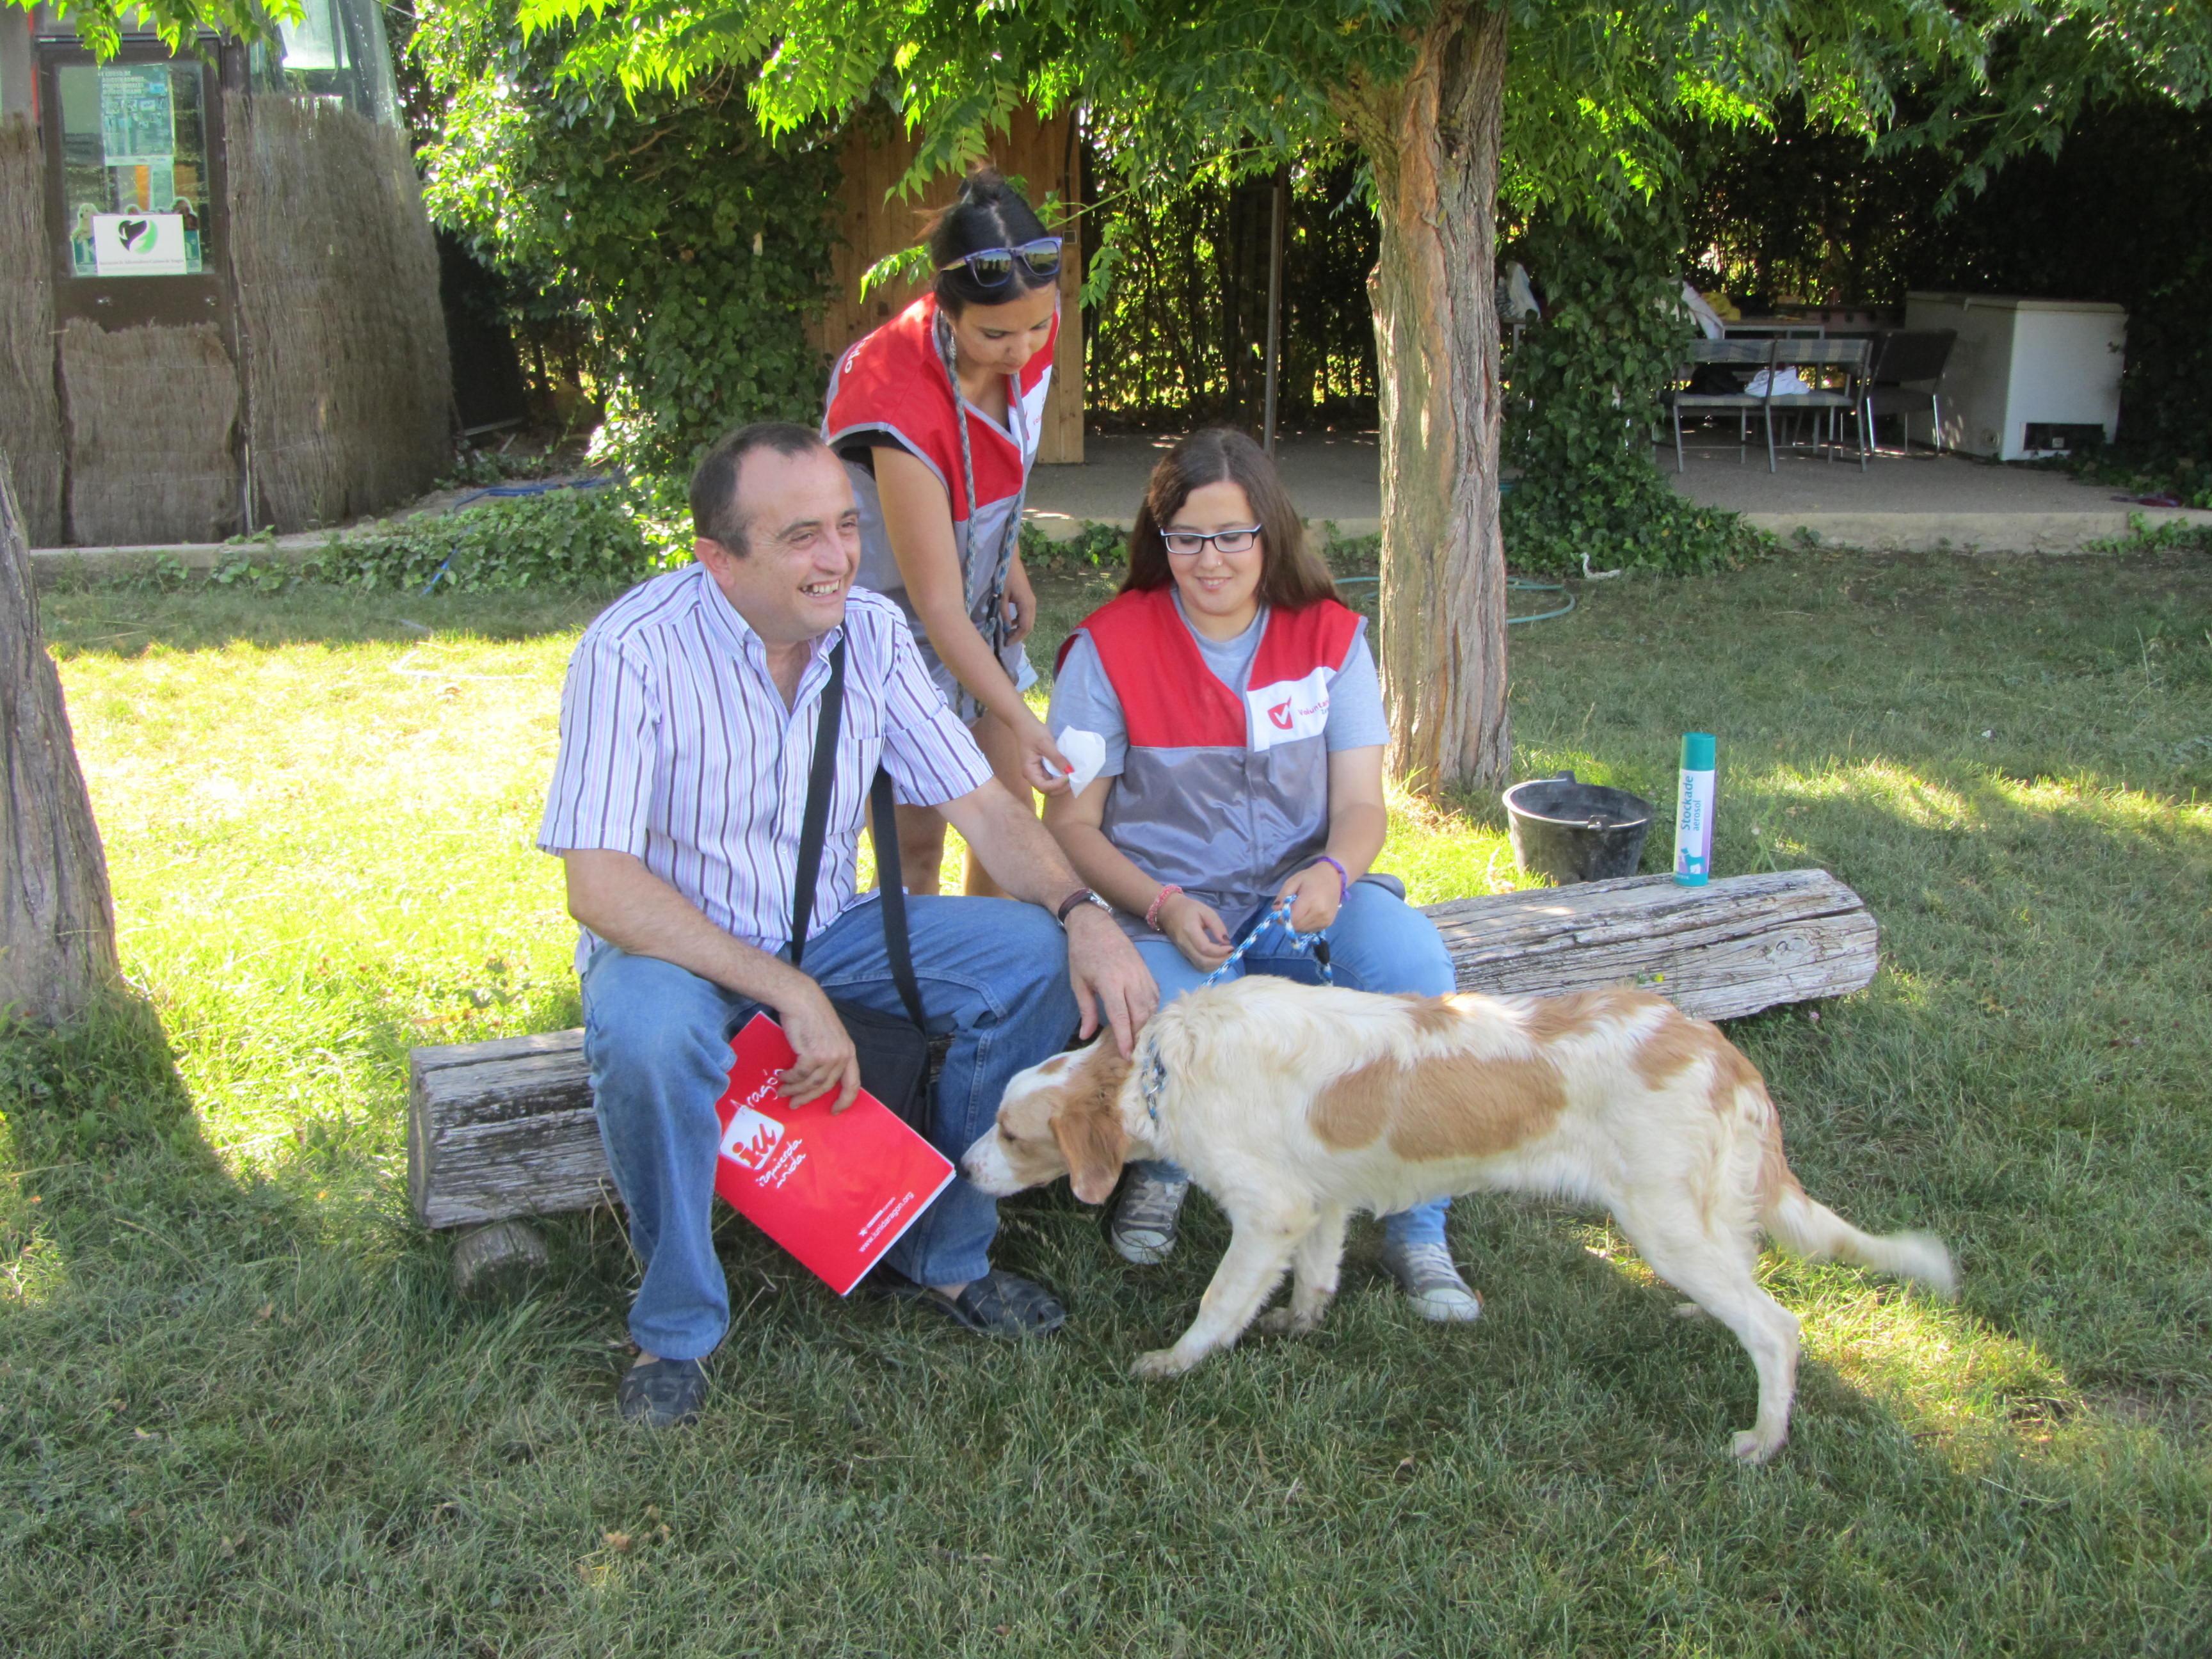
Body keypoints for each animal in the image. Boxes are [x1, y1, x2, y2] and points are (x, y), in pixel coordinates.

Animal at [968, 982, 1955, 1459]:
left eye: (1012, 1131)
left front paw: (1174, 1364)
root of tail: (1719, 1050)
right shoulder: (1321, 1199)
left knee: (1779, 1329)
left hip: (1663, 1222)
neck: (1165, 1068)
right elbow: (1315, 1274)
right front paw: (1300, 1324)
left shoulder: (1269, 1210)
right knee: (1745, 1282)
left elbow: (1218, 1305)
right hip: (1695, 1220)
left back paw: (1763, 1440)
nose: (967, 1166)